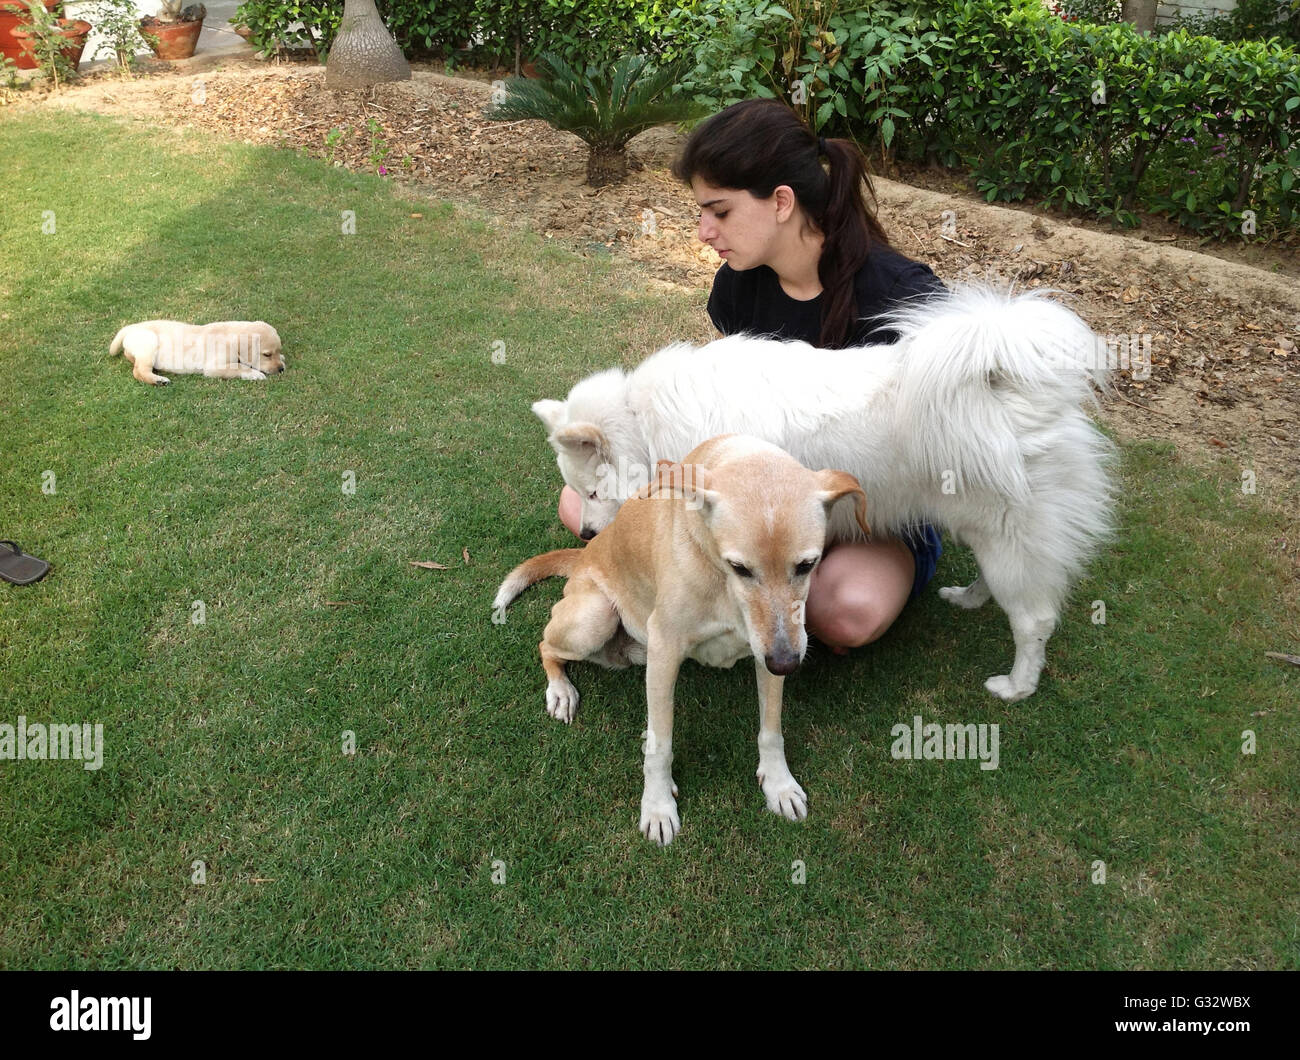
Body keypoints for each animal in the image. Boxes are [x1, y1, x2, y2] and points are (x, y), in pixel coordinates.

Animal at [110, 325, 286, 392]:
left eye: (277, 351)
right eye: (267, 354)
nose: (281, 369)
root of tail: (130, 328)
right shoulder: (213, 367)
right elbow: (238, 366)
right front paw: (254, 374)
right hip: (149, 344)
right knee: (139, 371)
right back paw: (159, 380)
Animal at [491, 431, 868, 848]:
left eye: (807, 565)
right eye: (739, 567)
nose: (786, 664)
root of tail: (584, 554)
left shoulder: (768, 648)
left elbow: (771, 730)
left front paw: (779, 785)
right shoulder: (667, 648)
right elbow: (661, 746)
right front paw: (657, 807)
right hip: (595, 618)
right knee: (545, 645)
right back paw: (560, 692)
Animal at [527, 282, 1118, 702]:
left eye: (592, 493)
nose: (586, 534)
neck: (645, 426)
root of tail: (1013, 388)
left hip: (1010, 538)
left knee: (1034, 621)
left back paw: (1016, 687)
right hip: (987, 533)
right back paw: (967, 599)